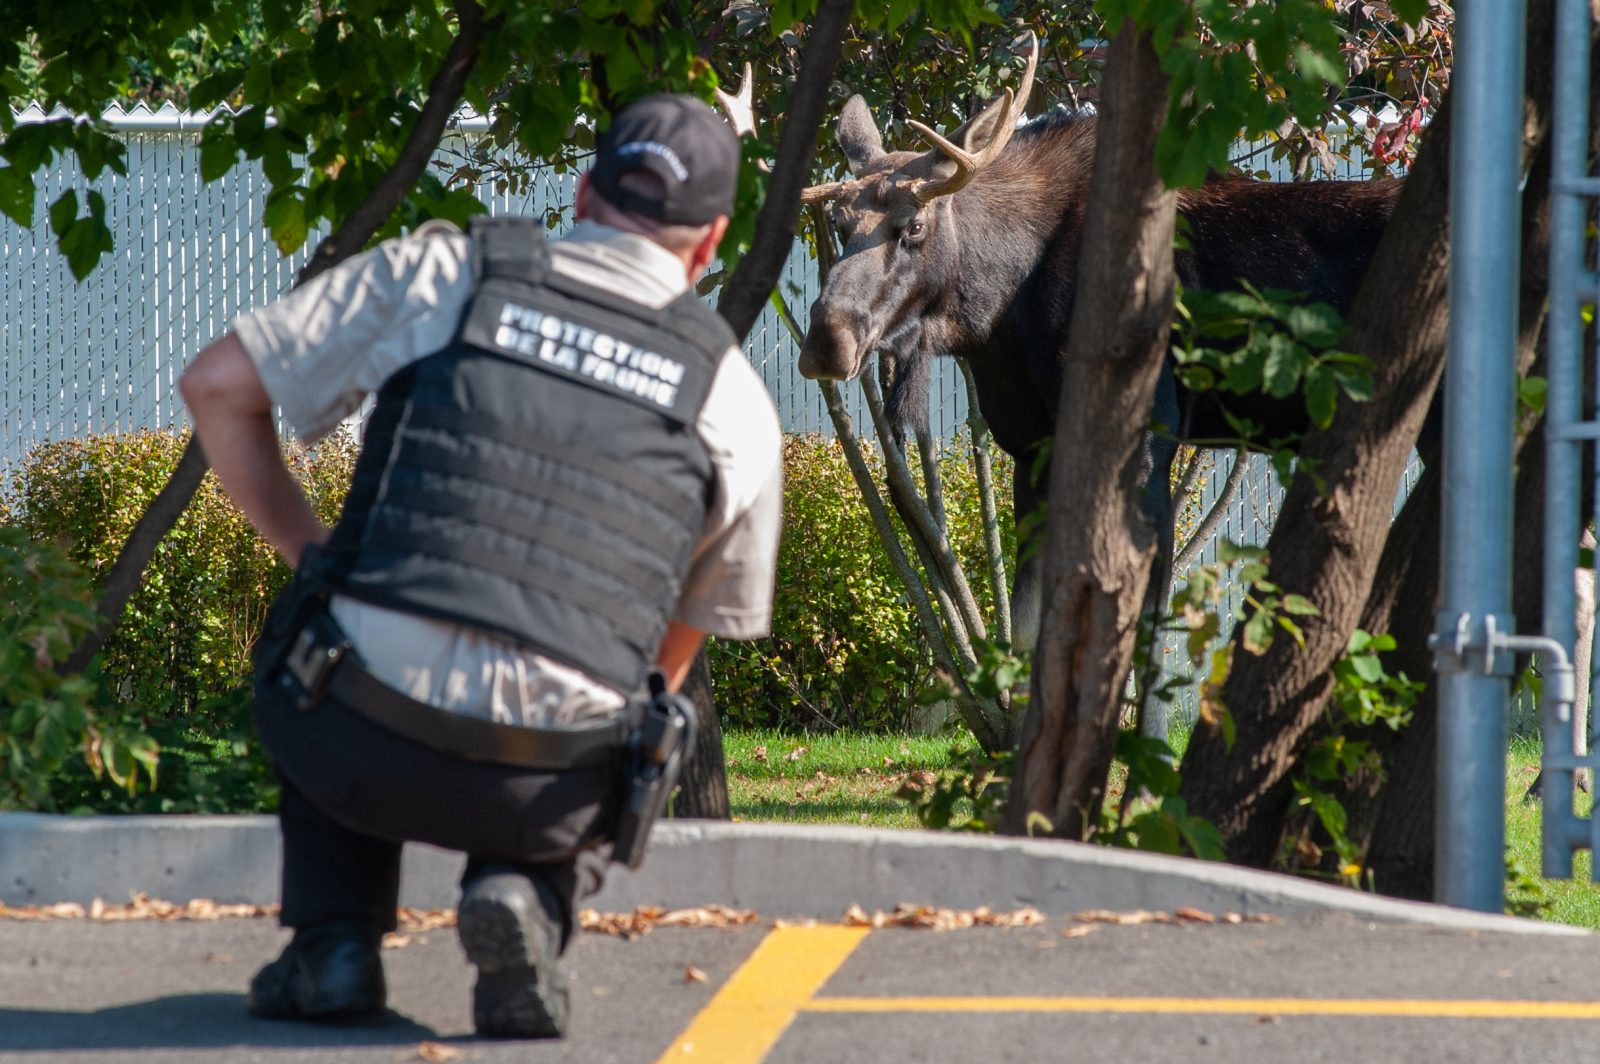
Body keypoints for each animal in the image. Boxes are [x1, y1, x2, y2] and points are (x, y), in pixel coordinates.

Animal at [800, 37, 1401, 652]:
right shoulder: (1031, 447)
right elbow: (1027, 630)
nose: (827, 339)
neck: (997, 309)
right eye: (837, 222)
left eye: (915, 226)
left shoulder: (1150, 442)